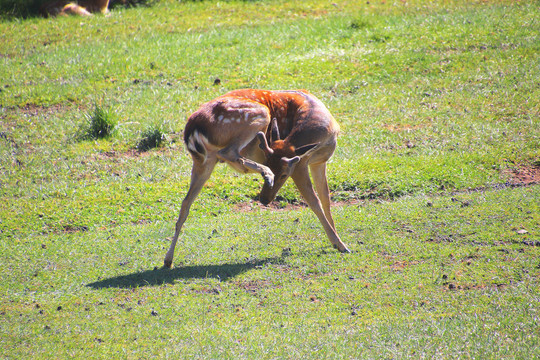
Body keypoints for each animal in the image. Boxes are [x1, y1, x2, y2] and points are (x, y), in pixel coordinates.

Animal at [165, 89, 350, 268]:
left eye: (284, 174)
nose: (264, 200)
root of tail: (193, 128)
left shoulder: (319, 162)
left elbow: (325, 198)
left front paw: (335, 237)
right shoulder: (300, 164)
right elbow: (314, 201)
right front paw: (340, 244)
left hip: (203, 161)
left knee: (186, 202)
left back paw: (168, 260)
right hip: (258, 114)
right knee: (228, 152)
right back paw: (264, 172)